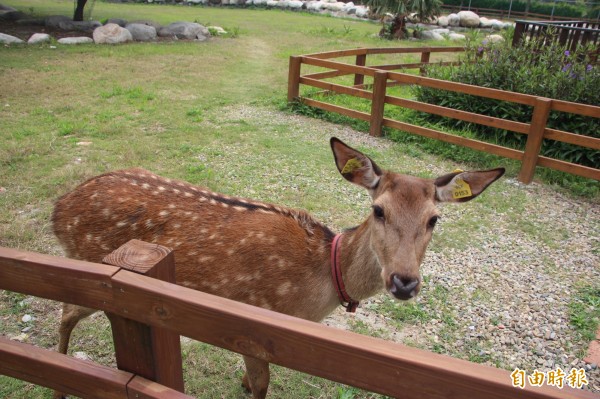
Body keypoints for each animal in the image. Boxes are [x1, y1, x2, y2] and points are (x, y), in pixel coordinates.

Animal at [51, 137, 504, 396]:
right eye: (379, 210)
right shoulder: (254, 325)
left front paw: (239, 382)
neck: (318, 287)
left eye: (434, 219)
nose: (405, 282)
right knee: (66, 312)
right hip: (93, 267)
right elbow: (263, 385)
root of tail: (58, 209)